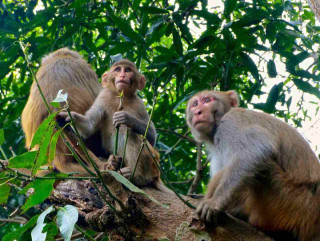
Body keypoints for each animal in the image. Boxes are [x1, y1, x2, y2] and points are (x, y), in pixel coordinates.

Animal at [58, 58, 168, 190]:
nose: (122, 75)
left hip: (153, 161)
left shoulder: (139, 104)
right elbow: (89, 126)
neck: (121, 97)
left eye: (128, 70)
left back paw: (139, 176)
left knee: (132, 133)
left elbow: (151, 137)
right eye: (117, 70)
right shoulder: (103, 97)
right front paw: (69, 116)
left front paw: (126, 118)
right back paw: (115, 163)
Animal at [186, 90, 320, 241]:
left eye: (207, 100)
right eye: (195, 104)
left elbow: (257, 150)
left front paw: (214, 202)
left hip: (291, 201)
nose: (198, 112)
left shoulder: (231, 123)